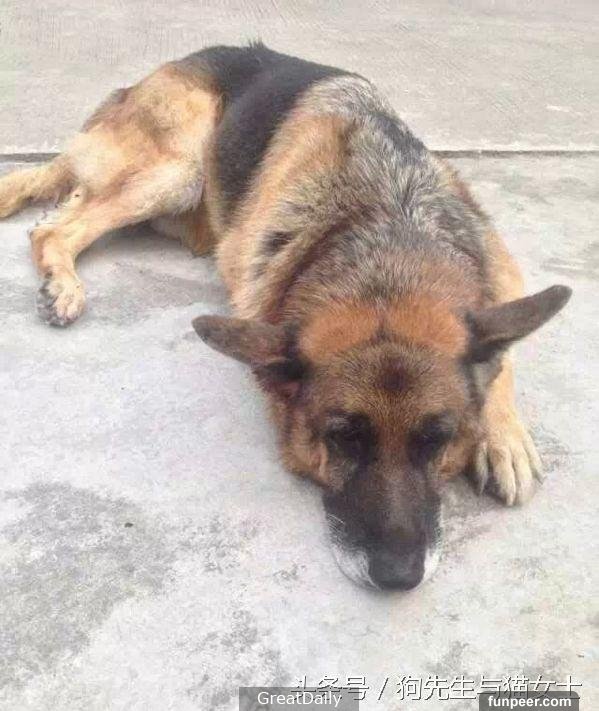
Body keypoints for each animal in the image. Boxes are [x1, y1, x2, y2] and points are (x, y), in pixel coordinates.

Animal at [0, 42, 571, 590]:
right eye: (344, 439)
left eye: (435, 442)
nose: (398, 577)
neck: (386, 229)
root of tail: (153, 75)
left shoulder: (503, 274)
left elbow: (503, 358)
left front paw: (504, 438)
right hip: (177, 168)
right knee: (52, 229)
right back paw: (63, 285)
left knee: (68, 206)